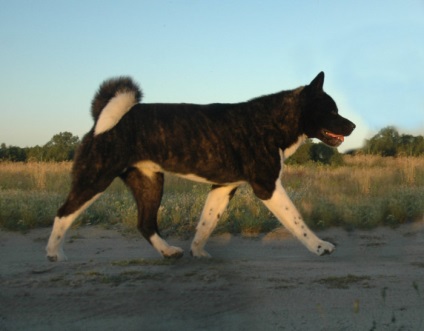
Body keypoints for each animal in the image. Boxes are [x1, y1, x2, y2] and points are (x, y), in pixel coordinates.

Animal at [46, 72, 356, 262]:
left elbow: (207, 223)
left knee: (145, 224)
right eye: (331, 110)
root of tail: (102, 119)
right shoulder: (267, 186)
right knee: (63, 212)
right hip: (95, 178)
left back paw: (169, 251)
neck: (272, 120)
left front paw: (197, 251)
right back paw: (54, 252)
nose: (352, 126)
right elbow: (297, 220)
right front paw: (319, 246)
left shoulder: (223, 187)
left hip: (150, 183)